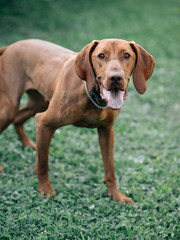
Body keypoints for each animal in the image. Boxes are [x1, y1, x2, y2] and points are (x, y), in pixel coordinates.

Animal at [0, 39, 155, 202]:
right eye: (101, 55)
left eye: (126, 55)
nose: (115, 78)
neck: (92, 95)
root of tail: (13, 45)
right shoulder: (44, 123)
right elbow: (42, 164)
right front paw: (45, 190)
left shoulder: (107, 130)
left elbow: (110, 169)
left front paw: (116, 195)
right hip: (9, 107)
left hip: (39, 102)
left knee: (18, 118)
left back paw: (27, 143)